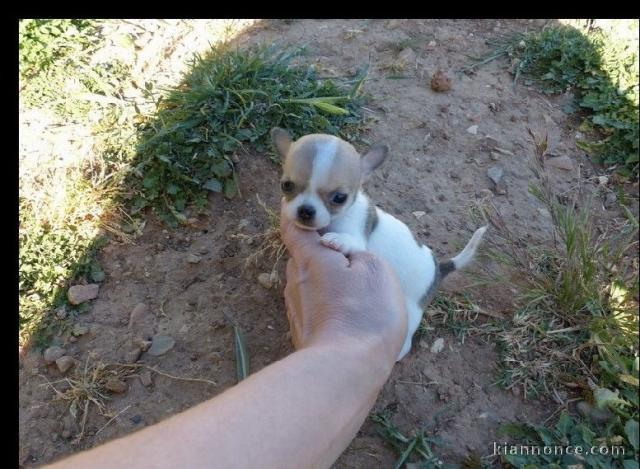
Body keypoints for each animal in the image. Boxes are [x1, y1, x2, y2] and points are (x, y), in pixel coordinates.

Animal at [272, 128, 488, 358]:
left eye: (339, 198)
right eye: (286, 185)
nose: (305, 210)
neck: (335, 219)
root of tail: (439, 268)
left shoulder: (357, 237)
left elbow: (349, 240)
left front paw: (337, 239)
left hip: (411, 311)